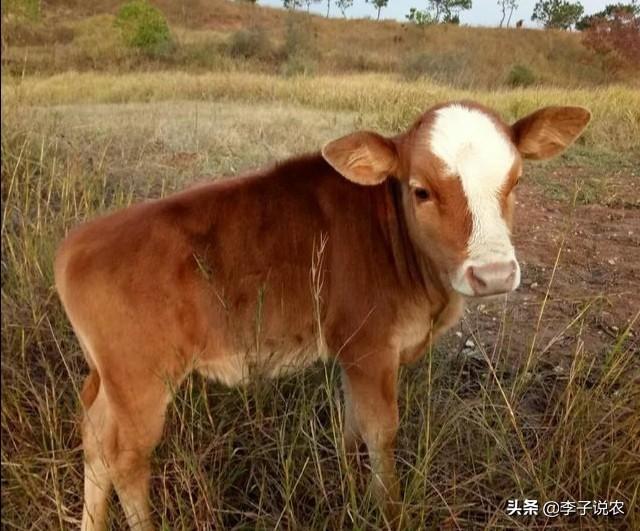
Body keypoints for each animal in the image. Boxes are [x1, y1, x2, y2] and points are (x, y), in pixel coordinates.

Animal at [55, 102, 592, 528]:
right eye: (421, 190)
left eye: (516, 182)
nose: (494, 273)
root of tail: (78, 242)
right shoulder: (371, 349)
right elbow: (381, 432)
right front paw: (388, 511)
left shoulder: (355, 355)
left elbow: (352, 427)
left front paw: (353, 493)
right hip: (142, 384)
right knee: (126, 459)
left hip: (111, 382)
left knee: (94, 439)